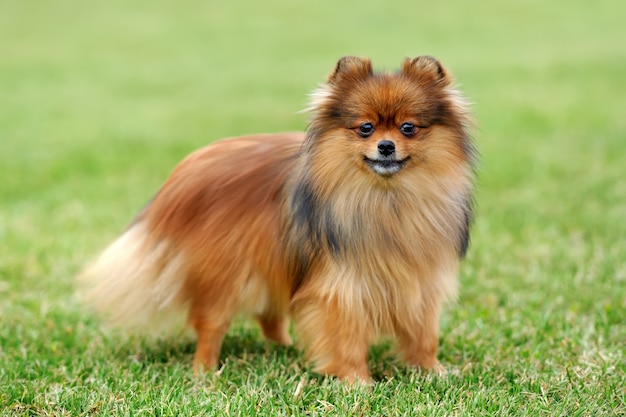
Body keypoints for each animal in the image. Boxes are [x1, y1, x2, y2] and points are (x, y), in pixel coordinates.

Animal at [80, 56, 476, 384]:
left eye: (409, 128)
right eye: (365, 128)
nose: (386, 146)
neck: (387, 199)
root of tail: (186, 173)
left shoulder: (420, 282)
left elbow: (424, 335)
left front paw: (433, 371)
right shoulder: (343, 287)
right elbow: (346, 339)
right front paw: (357, 382)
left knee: (270, 315)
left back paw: (284, 348)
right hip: (227, 273)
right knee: (211, 324)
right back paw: (204, 372)